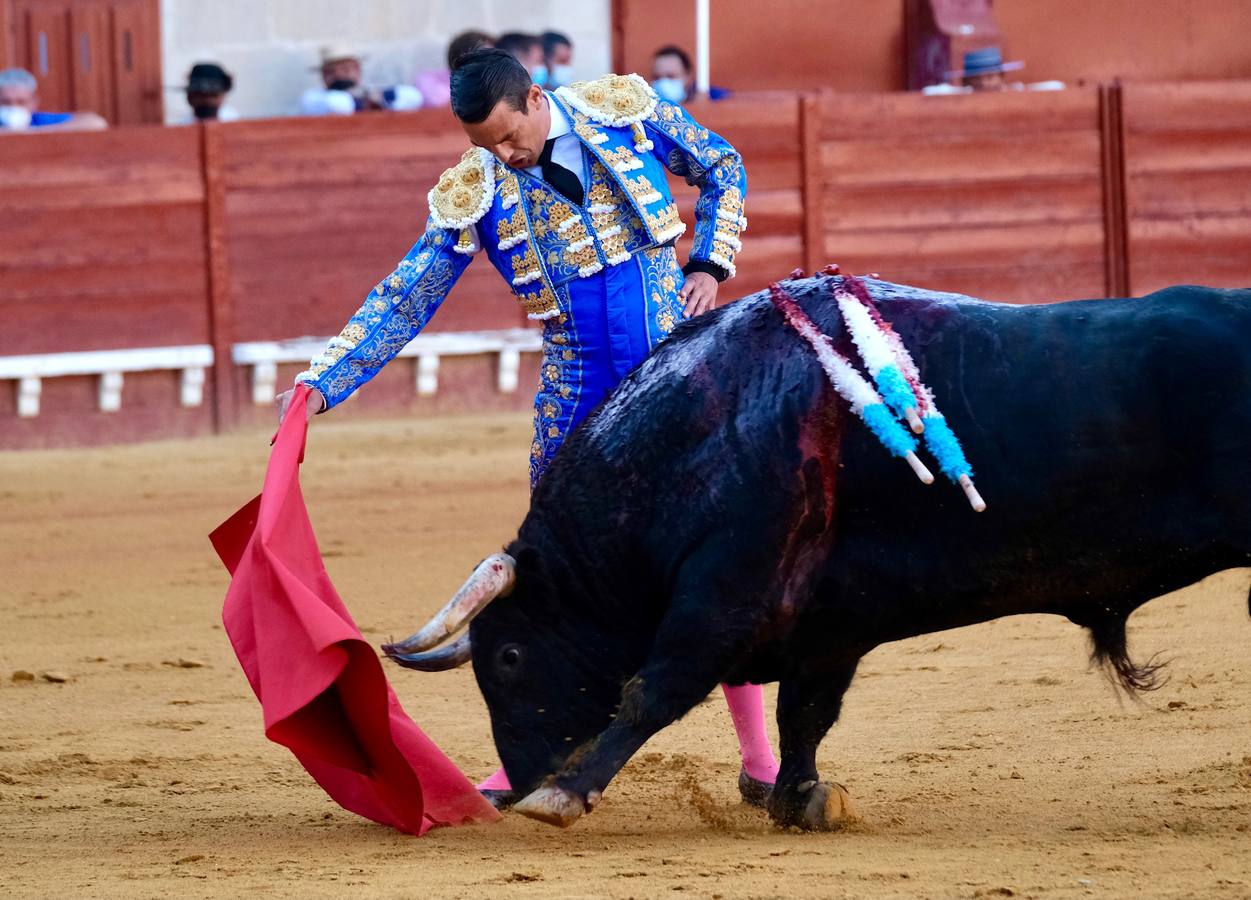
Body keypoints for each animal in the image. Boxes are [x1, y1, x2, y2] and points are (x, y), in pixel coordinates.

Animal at [382, 274, 1251, 831]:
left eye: (508, 658)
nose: (516, 783)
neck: (711, 423)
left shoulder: (729, 590)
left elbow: (653, 689)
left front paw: (564, 798)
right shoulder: (829, 622)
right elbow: (805, 712)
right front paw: (801, 799)